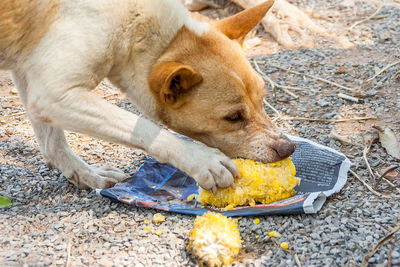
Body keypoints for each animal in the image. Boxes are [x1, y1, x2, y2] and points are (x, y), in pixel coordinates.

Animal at [0, 0, 294, 193]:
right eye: (233, 117)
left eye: (263, 98)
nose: (287, 148)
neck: (133, 22)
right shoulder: (52, 94)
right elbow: (144, 128)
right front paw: (201, 160)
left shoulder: (30, 74)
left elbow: (52, 142)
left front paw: (87, 174)